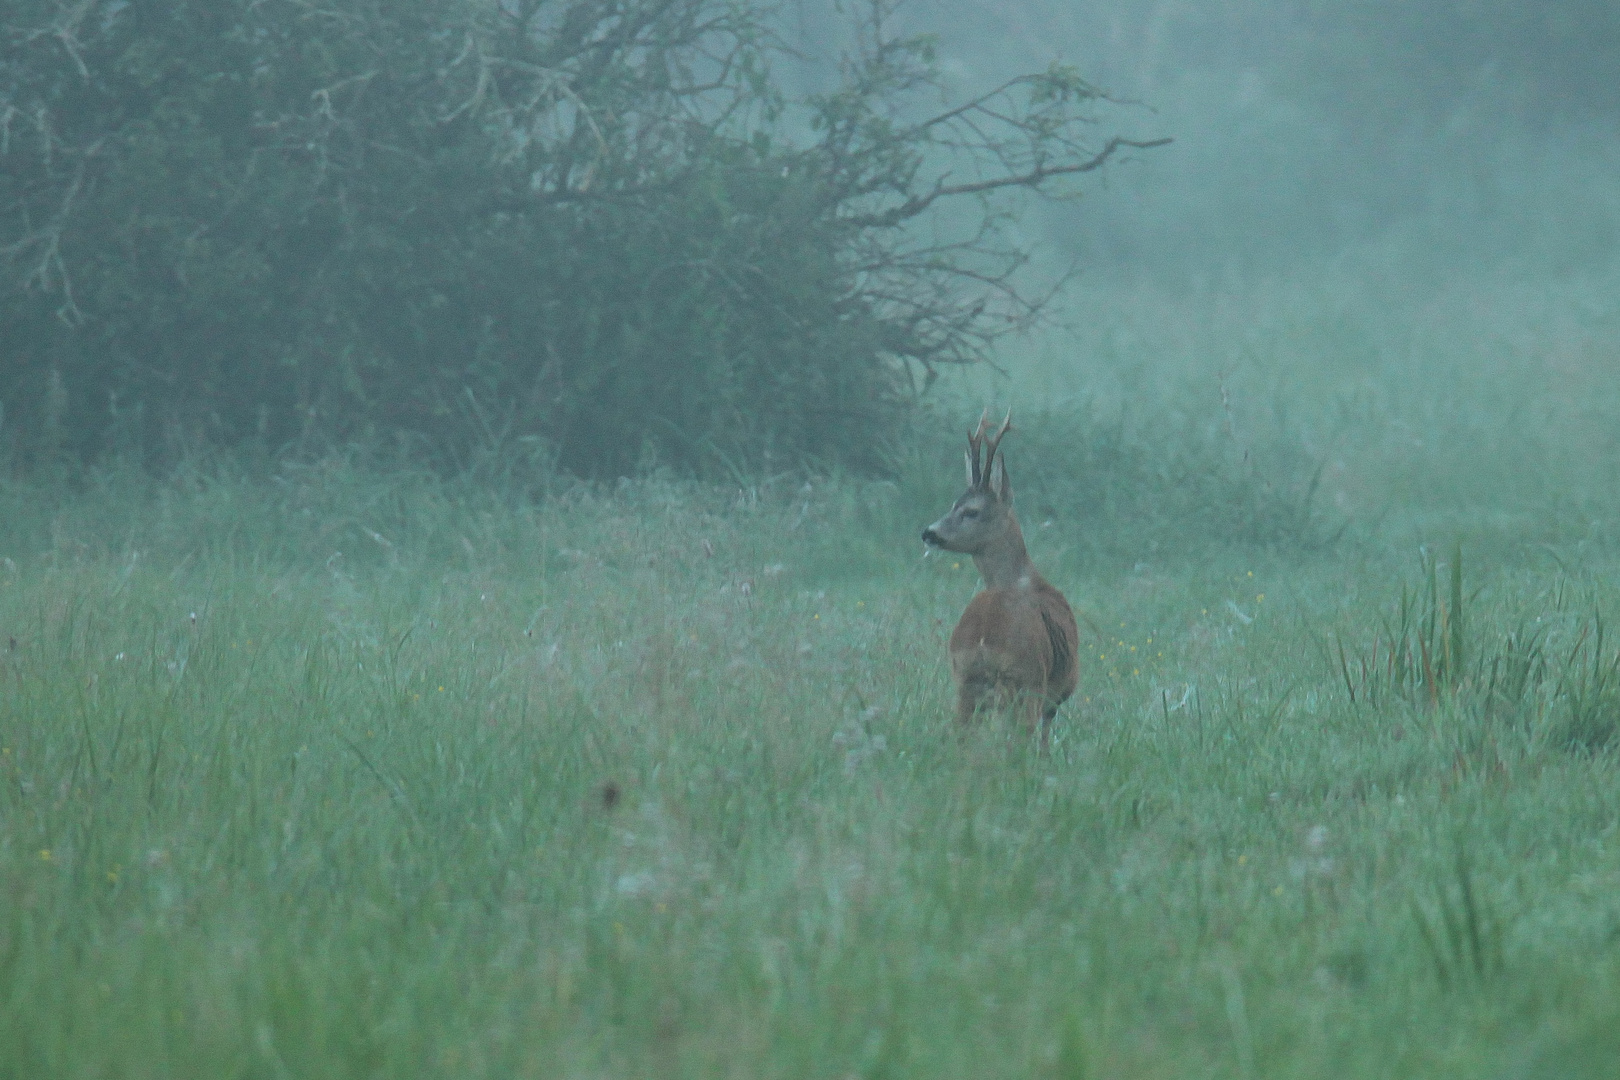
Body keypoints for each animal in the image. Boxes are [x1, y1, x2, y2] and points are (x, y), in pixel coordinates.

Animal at [926, 409, 1075, 748]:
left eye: (969, 510)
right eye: (955, 505)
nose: (929, 532)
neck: (1020, 578)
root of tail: (983, 639)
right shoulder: (1056, 693)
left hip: (964, 682)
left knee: (959, 735)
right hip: (1026, 681)